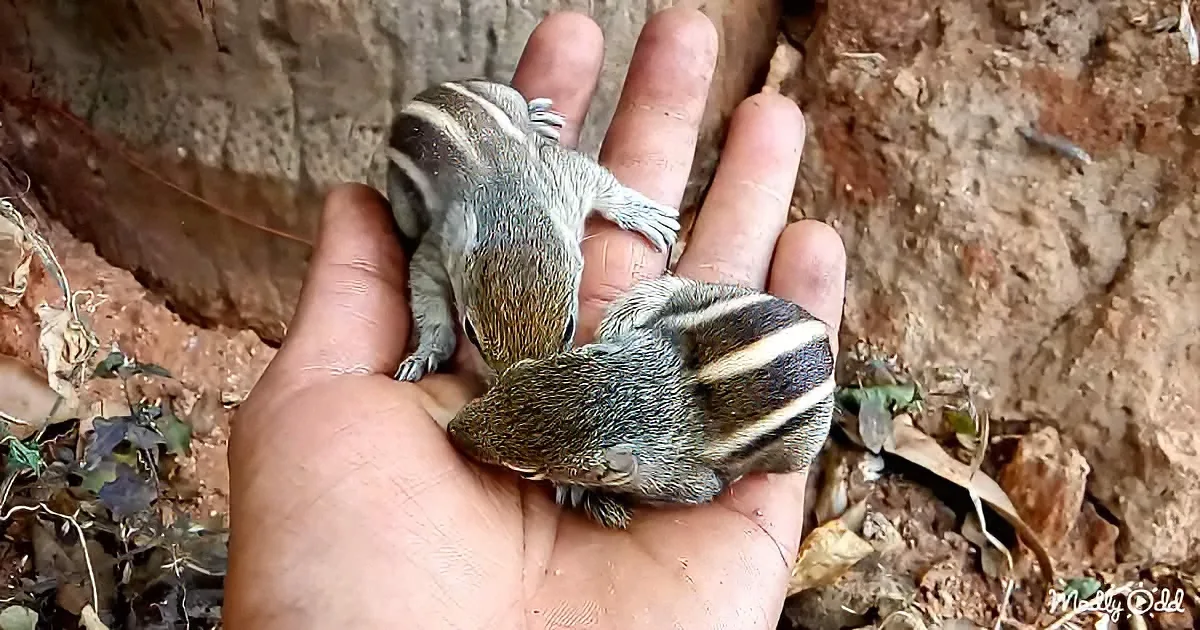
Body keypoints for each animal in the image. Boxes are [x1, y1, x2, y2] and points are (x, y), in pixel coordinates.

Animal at [384, 79, 682, 382]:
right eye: (470, 332)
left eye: (569, 328)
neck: (508, 205)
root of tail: (426, 94)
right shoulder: (440, 239)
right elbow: (426, 289)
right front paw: (424, 353)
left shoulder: (565, 178)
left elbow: (601, 183)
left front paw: (644, 214)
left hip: (498, 91)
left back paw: (537, 118)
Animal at [445, 274, 838, 529]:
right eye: (518, 372)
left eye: (526, 470)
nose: (451, 430)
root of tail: (823, 340)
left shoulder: (684, 484)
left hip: (800, 450)